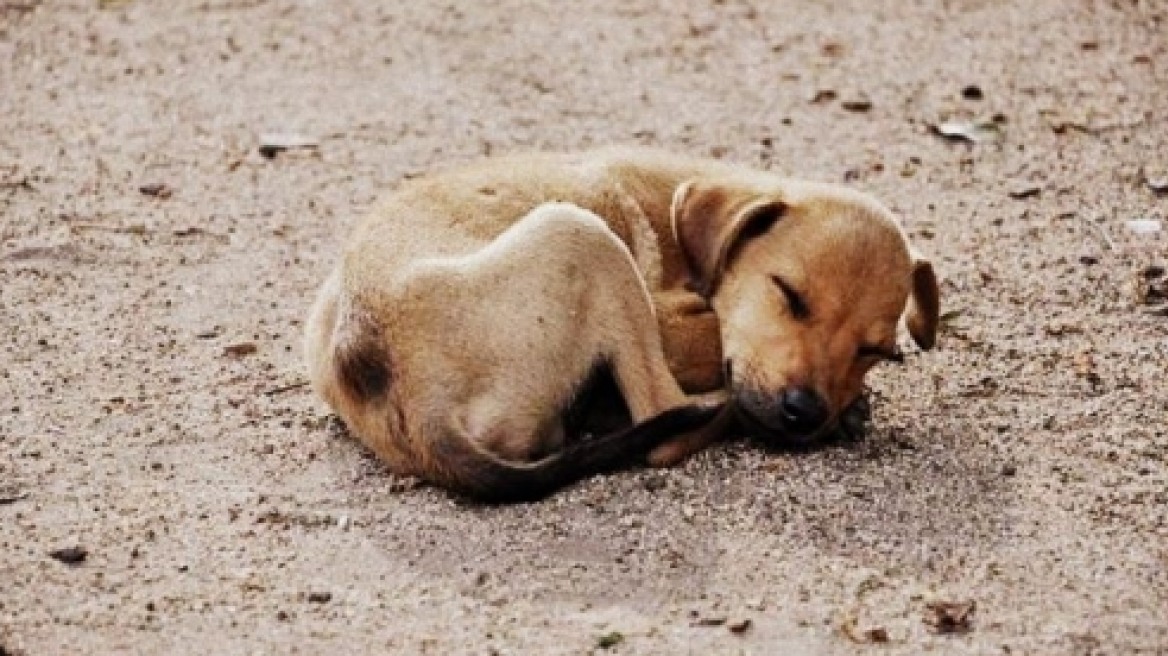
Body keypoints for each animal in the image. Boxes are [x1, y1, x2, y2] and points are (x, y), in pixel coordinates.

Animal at [303, 145, 939, 497]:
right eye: (789, 295)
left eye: (876, 353)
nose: (803, 414)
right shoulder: (674, 324)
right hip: (582, 233)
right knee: (665, 424)